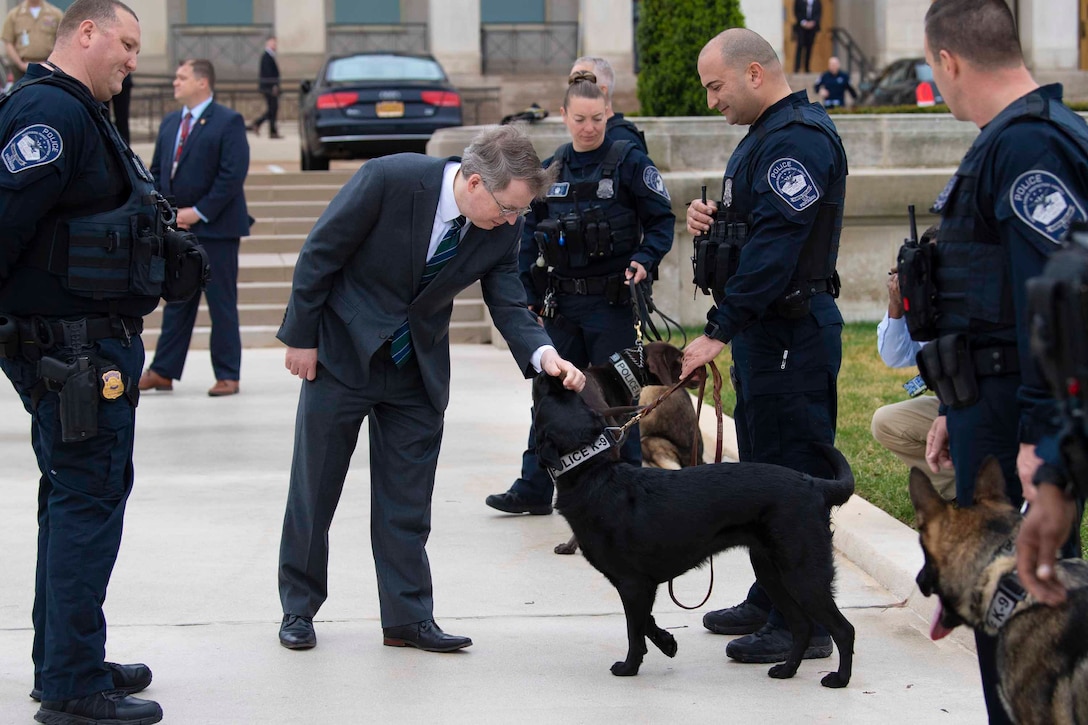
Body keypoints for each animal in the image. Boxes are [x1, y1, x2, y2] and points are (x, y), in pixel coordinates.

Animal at [530, 372, 852, 683]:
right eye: (570, 396)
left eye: (546, 398)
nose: (551, 375)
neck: (592, 473)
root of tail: (815, 485)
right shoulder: (640, 584)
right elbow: (645, 622)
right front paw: (667, 643)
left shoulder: (632, 583)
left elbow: (635, 631)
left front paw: (629, 667)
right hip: (771, 572)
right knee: (802, 625)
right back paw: (786, 671)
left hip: (803, 574)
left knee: (843, 629)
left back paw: (838, 679)